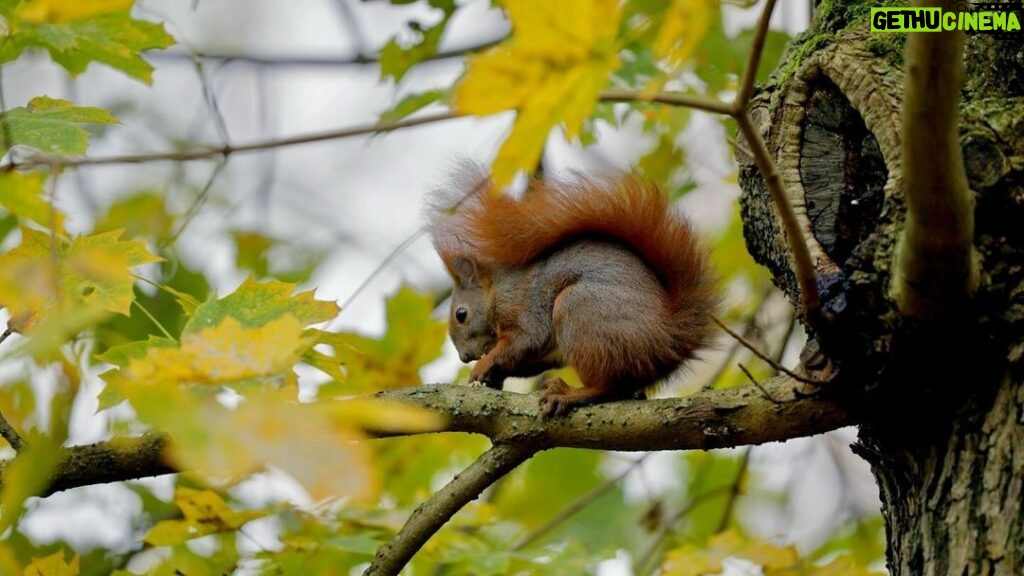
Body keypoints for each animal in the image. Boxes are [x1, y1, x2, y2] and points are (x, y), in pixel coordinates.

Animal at [428, 163, 716, 414]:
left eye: (461, 314)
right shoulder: (548, 353)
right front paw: (492, 376)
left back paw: (569, 394)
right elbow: (527, 359)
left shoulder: (523, 306)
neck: (497, 290)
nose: (465, 357)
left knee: (609, 387)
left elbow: (526, 339)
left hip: (580, 311)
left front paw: (483, 366)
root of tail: (670, 336)